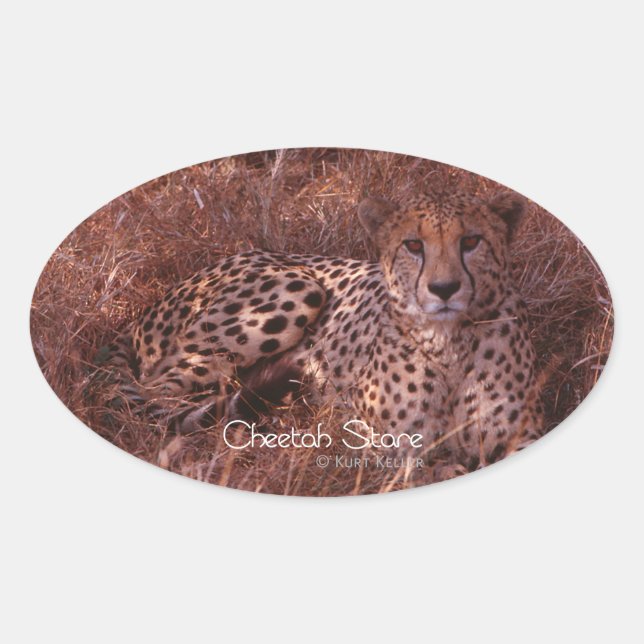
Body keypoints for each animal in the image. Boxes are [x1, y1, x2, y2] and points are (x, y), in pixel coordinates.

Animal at [100, 189, 544, 468]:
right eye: (413, 245)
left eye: (471, 241)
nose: (444, 288)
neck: (448, 343)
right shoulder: (364, 431)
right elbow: (416, 464)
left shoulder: (524, 436)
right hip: (298, 289)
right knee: (157, 394)